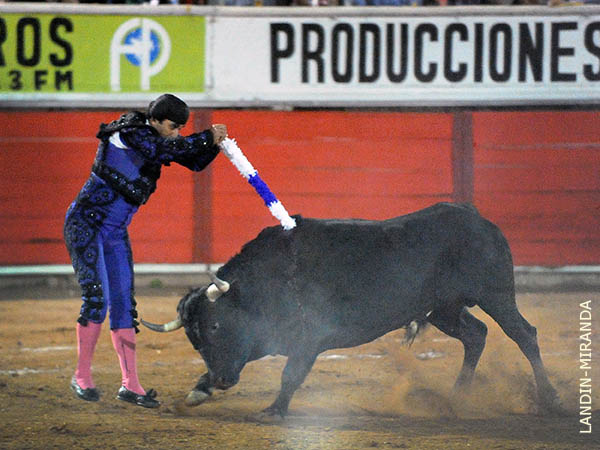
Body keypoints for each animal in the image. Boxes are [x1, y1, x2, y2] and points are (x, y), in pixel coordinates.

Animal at [142, 202, 564, 416]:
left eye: (215, 326)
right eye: (194, 338)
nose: (224, 381)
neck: (267, 281)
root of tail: (479, 220)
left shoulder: (308, 340)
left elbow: (290, 375)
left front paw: (274, 410)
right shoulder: (260, 342)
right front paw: (198, 390)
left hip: (496, 293)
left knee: (524, 335)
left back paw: (549, 399)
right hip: (443, 309)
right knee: (476, 335)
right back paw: (457, 397)